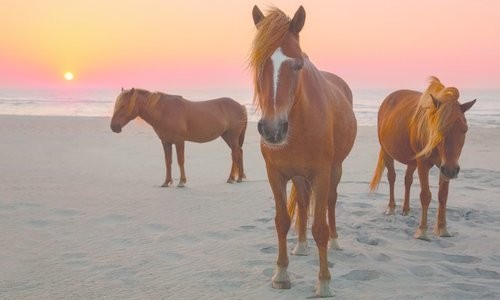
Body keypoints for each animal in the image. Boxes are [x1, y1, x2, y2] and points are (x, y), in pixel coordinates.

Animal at [111, 86, 248, 186]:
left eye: (123, 105)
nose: (113, 127)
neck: (165, 111)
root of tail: (240, 106)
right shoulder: (166, 142)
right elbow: (168, 161)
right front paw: (167, 182)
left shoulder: (179, 141)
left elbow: (180, 160)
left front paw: (182, 181)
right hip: (227, 137)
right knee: (239, 152)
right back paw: (240, 177)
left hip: (232, 137)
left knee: (235, 154)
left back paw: (231, 178)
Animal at [249, 5, 356, 296]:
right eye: (258, 63)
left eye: (297, 64)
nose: (273, 129)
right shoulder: (275, 174)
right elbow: (281, 221)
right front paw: (281, 273)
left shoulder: (322, 173)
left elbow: (319, 226)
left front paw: (324, 283)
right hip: (298, 176)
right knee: (304, 201)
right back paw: (301, 244)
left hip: (335, 170)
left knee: (330, 202)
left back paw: (336, 241)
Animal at [372, 77, 476, 241]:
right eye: (439, 128)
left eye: (464, 130)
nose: (452, 171)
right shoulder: (423, 164)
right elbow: (425, 195)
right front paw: (422, 231)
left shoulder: (443, 166)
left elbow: (443, 196)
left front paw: (442, 229)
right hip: (387, 151)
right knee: (392, 177)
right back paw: (391, 208)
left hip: (412, 161)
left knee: (408, 180)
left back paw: (406, 209)